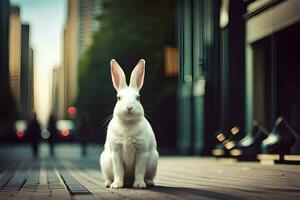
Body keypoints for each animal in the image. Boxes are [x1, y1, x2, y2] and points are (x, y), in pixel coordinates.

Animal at [99, 58, 159, 188]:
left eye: (138, 98)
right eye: (118, 98)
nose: (129, 107)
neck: (128, 123)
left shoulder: (142, 151)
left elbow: (139, 170)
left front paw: (139, 185)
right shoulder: (116, 152)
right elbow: (119, 171)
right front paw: (116, 185)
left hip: (153, 162)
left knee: (148, 176)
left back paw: (149, 182)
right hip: (105, 163)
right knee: (109, 176)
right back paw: (108, 183)